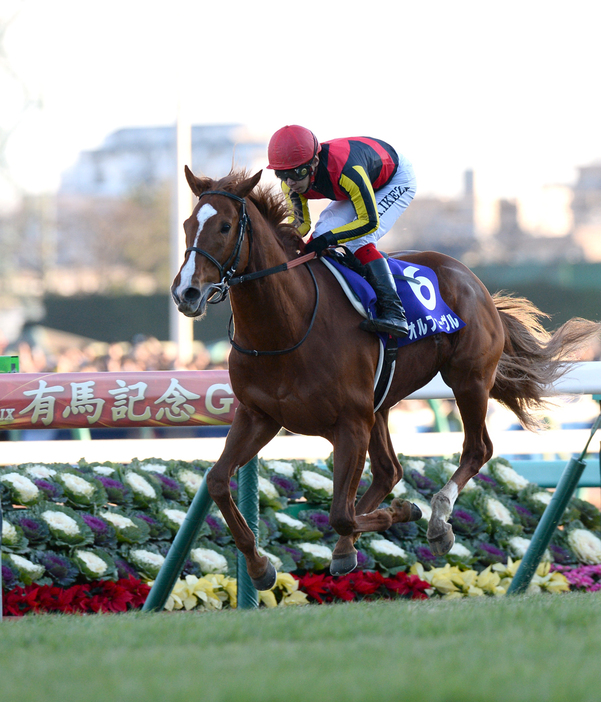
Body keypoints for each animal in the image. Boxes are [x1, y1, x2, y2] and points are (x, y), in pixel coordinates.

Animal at [171, 168, 596, 592]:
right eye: (187, 224)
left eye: (225, 226)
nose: (185, 292)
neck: (285, 328)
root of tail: (474, 280)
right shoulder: (258, 416)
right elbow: (217, 480)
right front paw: (260, 566)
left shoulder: (350, 424)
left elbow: (341, 513)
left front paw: (406, 512)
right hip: (383, 403)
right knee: (389, 470)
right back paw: (349, 548)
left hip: (468, 379)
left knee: (476, 450)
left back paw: (437, 521)